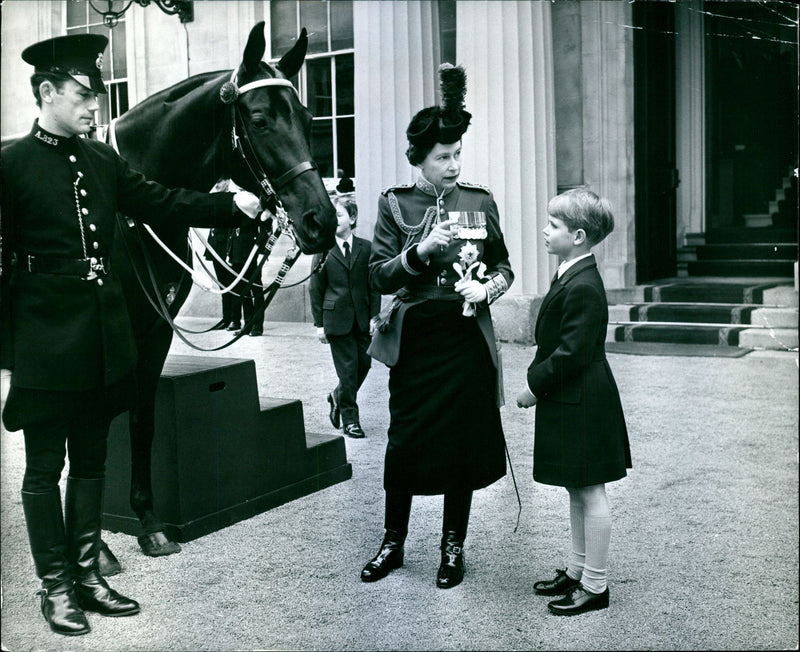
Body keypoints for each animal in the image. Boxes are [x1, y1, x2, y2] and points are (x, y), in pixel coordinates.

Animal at [102, 20, 334, 560]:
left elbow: (141, 420)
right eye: (260, 118)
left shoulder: (153, 332)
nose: (322, 220)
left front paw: (149, 522)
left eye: (308, 115)